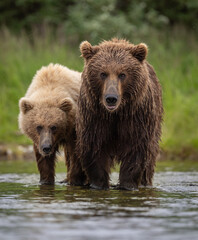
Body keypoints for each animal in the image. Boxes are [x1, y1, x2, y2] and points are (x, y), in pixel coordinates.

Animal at [69, 38, 163, 190]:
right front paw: (99, 184)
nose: (111, 98)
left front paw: (127, 185)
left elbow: (136, 151)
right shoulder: (95, 118)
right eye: (103, 73)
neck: (116, 114)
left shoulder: (136, 118)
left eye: (122, 74)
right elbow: (94, 149)